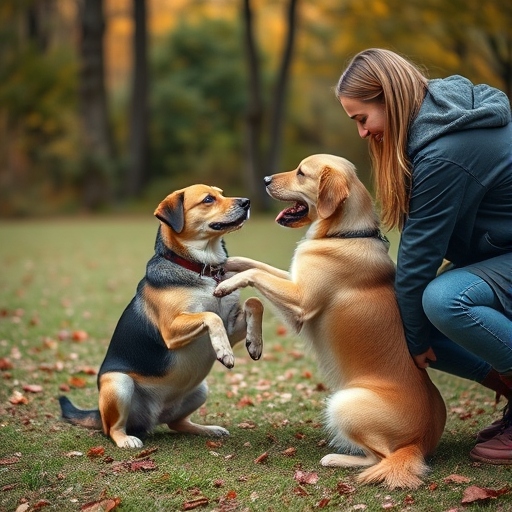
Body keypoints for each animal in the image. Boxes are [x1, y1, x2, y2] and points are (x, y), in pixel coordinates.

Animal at [60, 185, 264, 448]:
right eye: (208, 199)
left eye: (221, 193)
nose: (247, 202)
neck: (203, 269)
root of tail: (153, 416)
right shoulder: (172, 329)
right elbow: (211, 316)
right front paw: (225, 352)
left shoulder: (231, 325)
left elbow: (255, 303)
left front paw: (254, 343)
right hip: (118, 384)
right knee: (112, 428)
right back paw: (126, 440)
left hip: (201, 390)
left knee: (178, 423)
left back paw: (207, 429)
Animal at [214, 155, 446, 488]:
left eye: (301, 172)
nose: (266, 180)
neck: (344, 235)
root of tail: (417, 445)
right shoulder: (294, 280)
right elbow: (258, 265)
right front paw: (229, 263)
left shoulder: (300, 303)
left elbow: (257, 273)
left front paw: (227, 284)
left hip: (342, 404)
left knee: (379, 458)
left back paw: (335, 458)